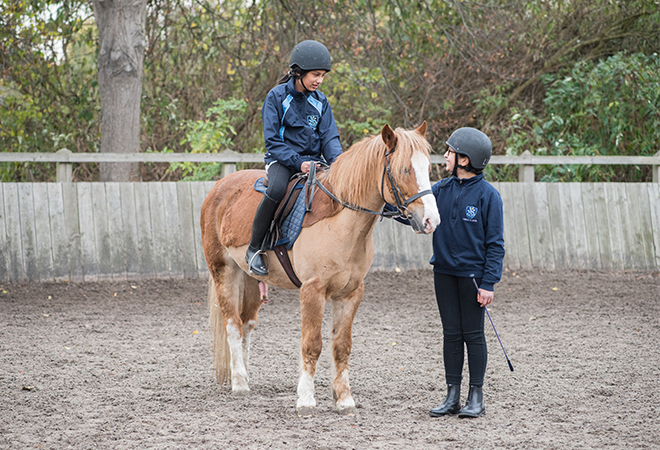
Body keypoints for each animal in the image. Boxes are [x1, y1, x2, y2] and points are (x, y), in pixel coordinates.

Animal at [200, 122, 440, 416]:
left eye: (427, 168)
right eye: (404, 169)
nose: (431, 220)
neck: (343, 222)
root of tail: (220, 188)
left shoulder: (350, 293)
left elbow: (342, 346)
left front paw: (345, 399)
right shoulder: (313, 291)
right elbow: (312, 344)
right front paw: (305, 399)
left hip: (250, 278)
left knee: (247, 324)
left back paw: (244, 376)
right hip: (224, 271)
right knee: (233, 324)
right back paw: (239, 383)